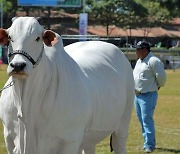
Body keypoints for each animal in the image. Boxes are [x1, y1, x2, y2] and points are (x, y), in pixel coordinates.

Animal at [0, 16, 134, 154]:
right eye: (10, 37)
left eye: (37, 38)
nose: (18, 65)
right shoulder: (9, 139)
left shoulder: (70, 140)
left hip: (124, 122)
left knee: (120, 143)